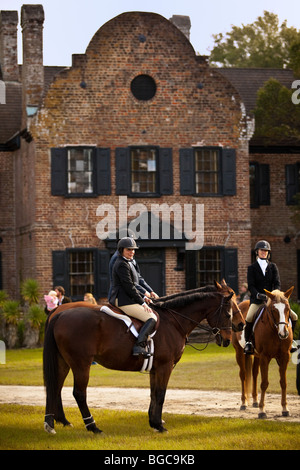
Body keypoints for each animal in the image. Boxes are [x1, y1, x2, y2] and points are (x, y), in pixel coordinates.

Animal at [43, 288, 233, 436]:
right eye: (228, 314)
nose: (227, 340)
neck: (173, 321)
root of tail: (60, 314)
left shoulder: (156, 368)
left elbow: (153, 393)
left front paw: (154, 422)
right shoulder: (165, 366)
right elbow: (161, 394)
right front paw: (159, 426)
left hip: (63, 362)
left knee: (54, 388)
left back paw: (54, 423)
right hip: (81, 364)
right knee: (79, 393)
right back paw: (93, 427)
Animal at [233, 286, 294, 418]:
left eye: (287, 308)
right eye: (274, 310)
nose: (284, 333)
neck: (274, 330)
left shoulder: (284, 356)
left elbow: (283, 382)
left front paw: (285, 408)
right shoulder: (265, 357)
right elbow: (264, 383)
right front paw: (262, 411)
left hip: (256, 356)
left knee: (254, 374)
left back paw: (255, 401)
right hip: (239, 352)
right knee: (243, 375)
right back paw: (244, 403)